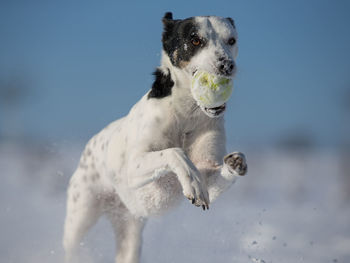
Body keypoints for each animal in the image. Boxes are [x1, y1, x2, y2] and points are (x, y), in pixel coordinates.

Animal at [64, 11, 247, 262]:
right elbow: (175, 153)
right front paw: (192, 182)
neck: (186, 115)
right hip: (80, 217)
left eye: (231, 40)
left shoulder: (210, 171)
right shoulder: (132, 167)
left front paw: (235, 163)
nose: (227, 65)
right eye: (195, 40)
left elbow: (216, 176)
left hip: (130, 233)